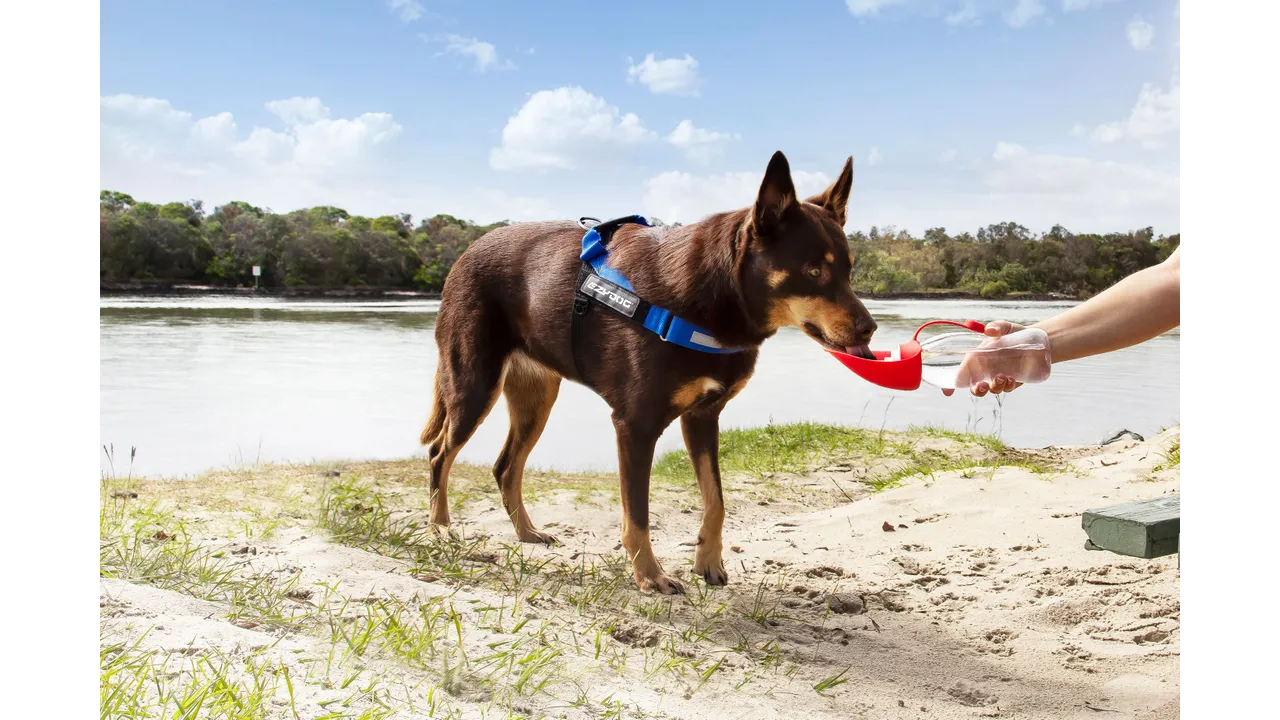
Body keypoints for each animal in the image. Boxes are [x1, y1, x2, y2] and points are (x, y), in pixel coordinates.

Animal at [424, 149, 875, 589]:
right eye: (813, 270)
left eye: (849, 269)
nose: (869, 329)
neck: (714, 297)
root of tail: (468, 251)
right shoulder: (635, 425)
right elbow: (638, 514)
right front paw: (650, 575)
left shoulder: (703, 416)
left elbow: (716, 501)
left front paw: (707, 561)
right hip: (474, 386)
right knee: (439, 453)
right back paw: (440, 528)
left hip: (536, 401)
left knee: (505, 466)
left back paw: (525, 532)